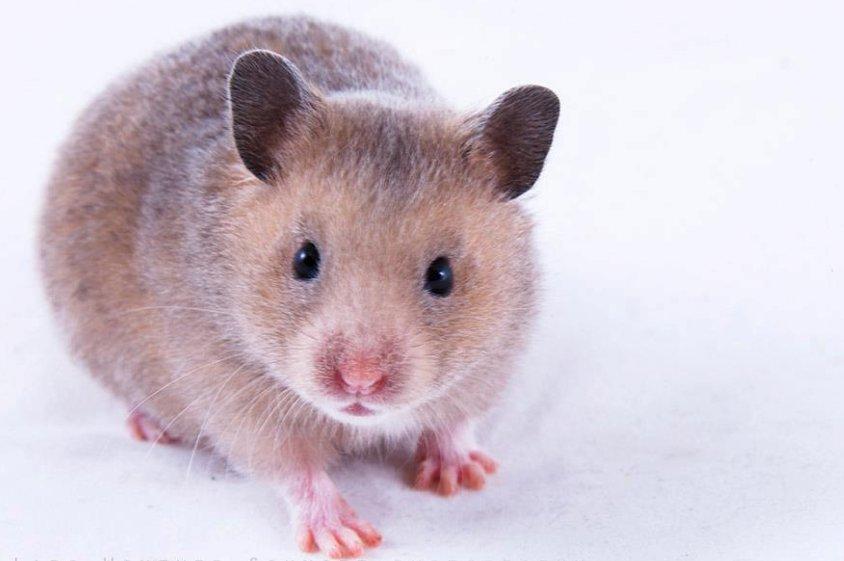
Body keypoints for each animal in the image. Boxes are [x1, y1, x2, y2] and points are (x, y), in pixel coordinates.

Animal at [39, 16, 559, 558]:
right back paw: (152, 428)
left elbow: (455, 422)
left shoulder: (490, 364)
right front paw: (348, 538)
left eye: (442, 275)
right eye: (304, 259)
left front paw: (465, 478)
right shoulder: (234, 396)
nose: (359, 381)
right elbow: (294, 468)